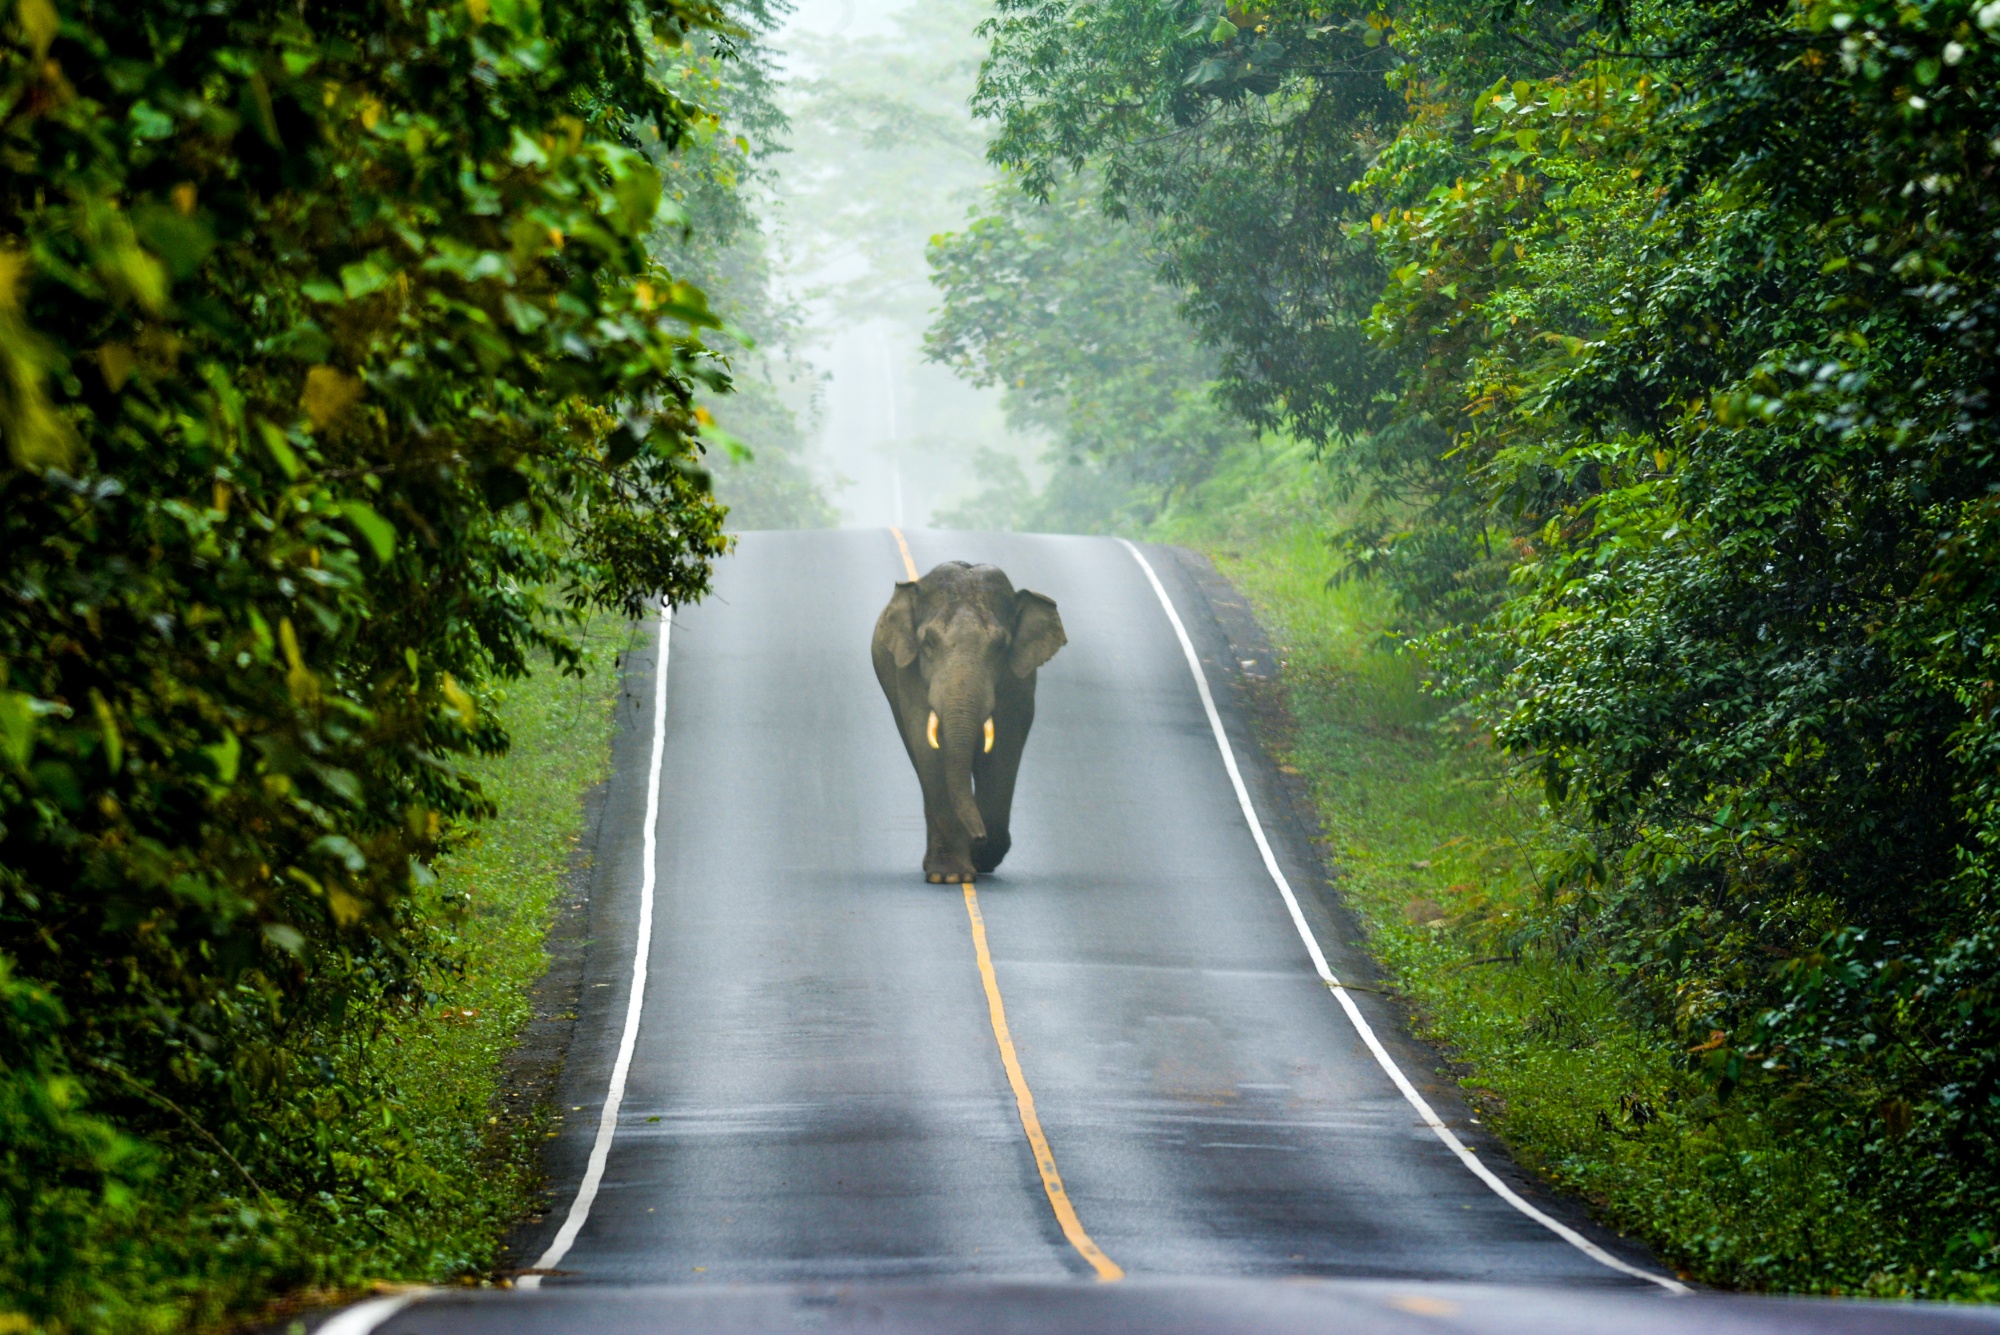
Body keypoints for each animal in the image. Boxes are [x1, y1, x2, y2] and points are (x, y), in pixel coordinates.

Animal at [872, 559, 1072, 879]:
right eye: (929, 642)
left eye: (1001, 646)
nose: (978, 837)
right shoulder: (909, 673)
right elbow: (928, 748)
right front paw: (950, 875)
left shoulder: (1018, 681)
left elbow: (1003, 752)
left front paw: (981, 856)